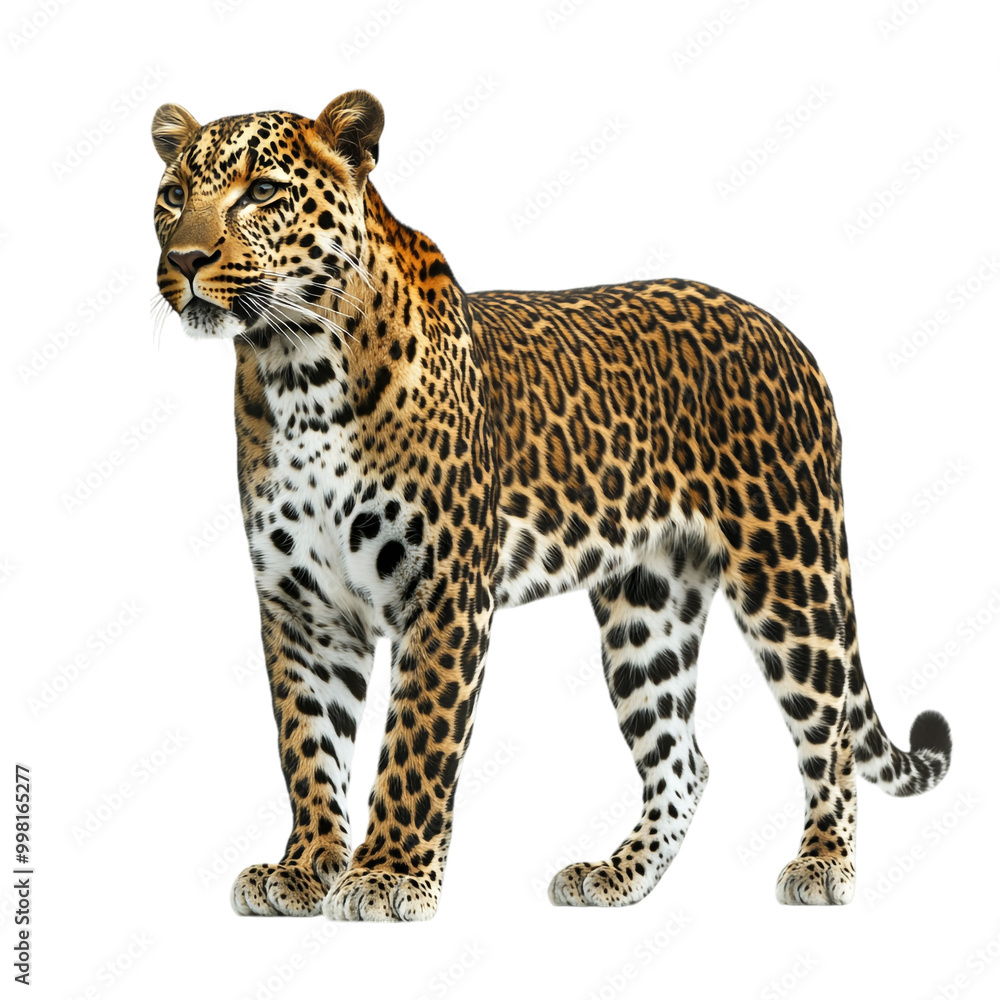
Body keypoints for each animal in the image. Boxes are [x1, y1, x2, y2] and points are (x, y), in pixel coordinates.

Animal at [151, 90, 952, 921]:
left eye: (261, 192)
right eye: (172, 196)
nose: (183, 261)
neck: (296, 366)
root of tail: (787, 335)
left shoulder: (442, 594)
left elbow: (413, 748)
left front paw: (387, 875)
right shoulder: (303, 607)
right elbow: (308, 746)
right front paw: (304, 867)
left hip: (791, 572)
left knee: (828, 731)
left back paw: (823, 864)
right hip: (648, 605)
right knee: (683, 760)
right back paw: (616, 875)